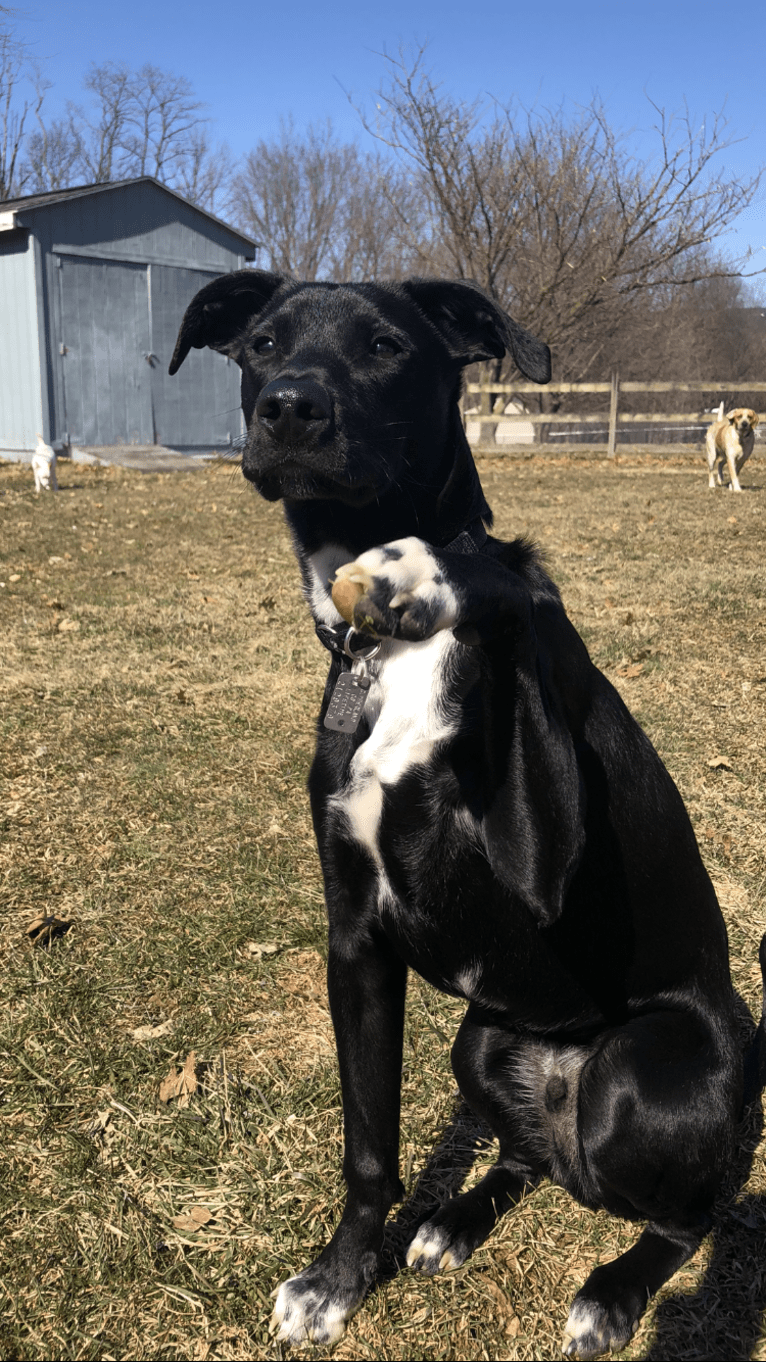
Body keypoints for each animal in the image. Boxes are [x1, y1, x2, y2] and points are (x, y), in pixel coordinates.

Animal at [168, 271, 763, 1356]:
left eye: (386, 346)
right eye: (262, 343)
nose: (290, 408)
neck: (390, 663)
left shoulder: (541, 862)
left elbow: (502, 583)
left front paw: (432, 571)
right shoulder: (355, 941)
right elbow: (368, 1146)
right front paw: (340, 1279)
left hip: (639, 1071)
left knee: (689, 1214)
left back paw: (615, 1292)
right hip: (481, 1040)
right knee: (531, 1156)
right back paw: (454, 1220)